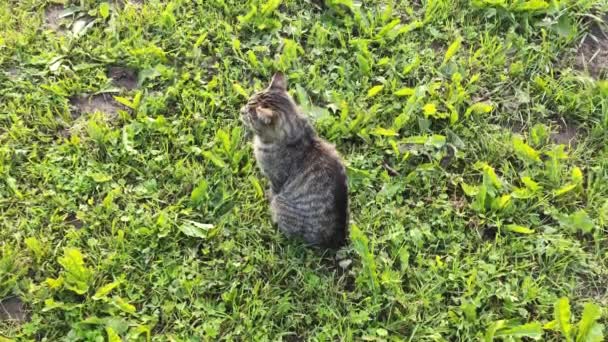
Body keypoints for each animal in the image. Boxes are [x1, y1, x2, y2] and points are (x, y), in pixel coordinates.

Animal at [241, 73, 350, 248]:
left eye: (250, 115)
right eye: (247, 101)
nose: (241, 110)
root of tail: (337, 241)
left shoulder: (275, 179)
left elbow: (272, 192)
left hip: (282, 205)